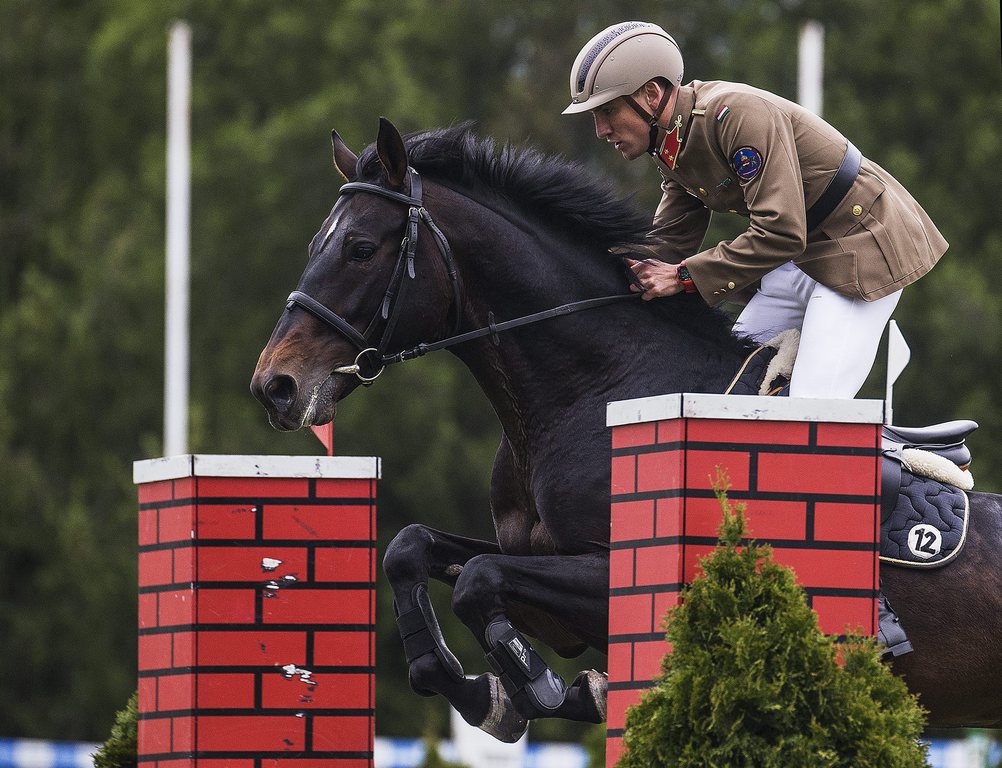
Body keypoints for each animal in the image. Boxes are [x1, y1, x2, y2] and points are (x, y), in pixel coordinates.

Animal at [250, 118, 1002, 737]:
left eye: (359, 248)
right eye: (323, 244)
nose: (275, 387)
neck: (594, 387)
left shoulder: (617, 570)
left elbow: (478, 581)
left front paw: (547, 689)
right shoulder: (541, 564)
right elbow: (411, 549)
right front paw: (483, 692)